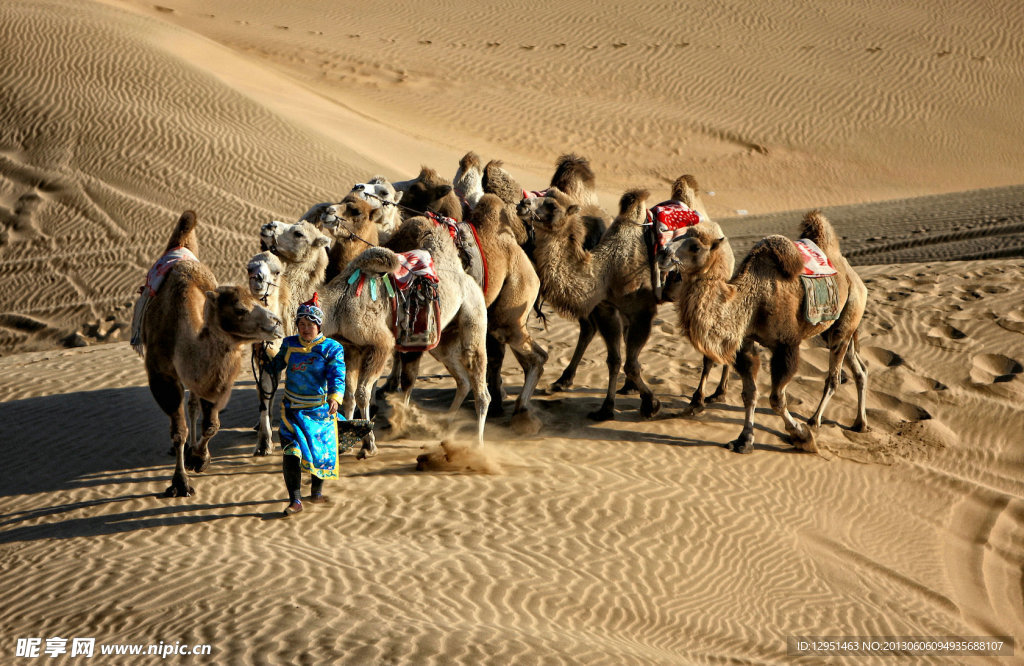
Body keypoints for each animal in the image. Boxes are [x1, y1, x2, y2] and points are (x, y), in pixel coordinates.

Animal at [138, 210, 284, 495]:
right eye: (240, 309)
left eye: (255, 300)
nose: (276, 322)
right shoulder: (162, 376)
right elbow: (178, 431)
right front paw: (180, 482)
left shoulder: (214, 379)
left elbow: (211, 424)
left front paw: (199, 458)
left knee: (193, 404)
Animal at [323, 215, 491, 442]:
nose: (329, 216)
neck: (338, 303)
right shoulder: (351, 347)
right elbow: (348, 395)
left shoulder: (380, 343)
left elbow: (362, 392)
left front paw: (369, 442)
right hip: (441, 338)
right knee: (463, 379)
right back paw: (444, 427)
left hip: (474, 315)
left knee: (480, 384)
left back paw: (477, 442)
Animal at [516, 184, 659, 418]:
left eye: (552, 205)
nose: (523, 203)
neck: (606, 269)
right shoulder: (607, 308)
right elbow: (614, 360)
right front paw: (606, 408)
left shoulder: (643, 310)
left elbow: (630, 364)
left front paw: (650, 404)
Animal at [675, 211, 868, 450]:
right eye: (677, 236)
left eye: (695, 247)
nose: (664, 254)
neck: (753, 298)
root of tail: (854, 276)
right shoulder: (746, 341)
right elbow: (750, 393)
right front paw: (744, 439)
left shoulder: (786, 345)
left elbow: (776, 398)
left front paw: (801, 437)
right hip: (834, 328)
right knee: (860, 370)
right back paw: (860, 423)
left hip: (848, 315)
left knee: (834, 377)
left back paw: (814, 421)